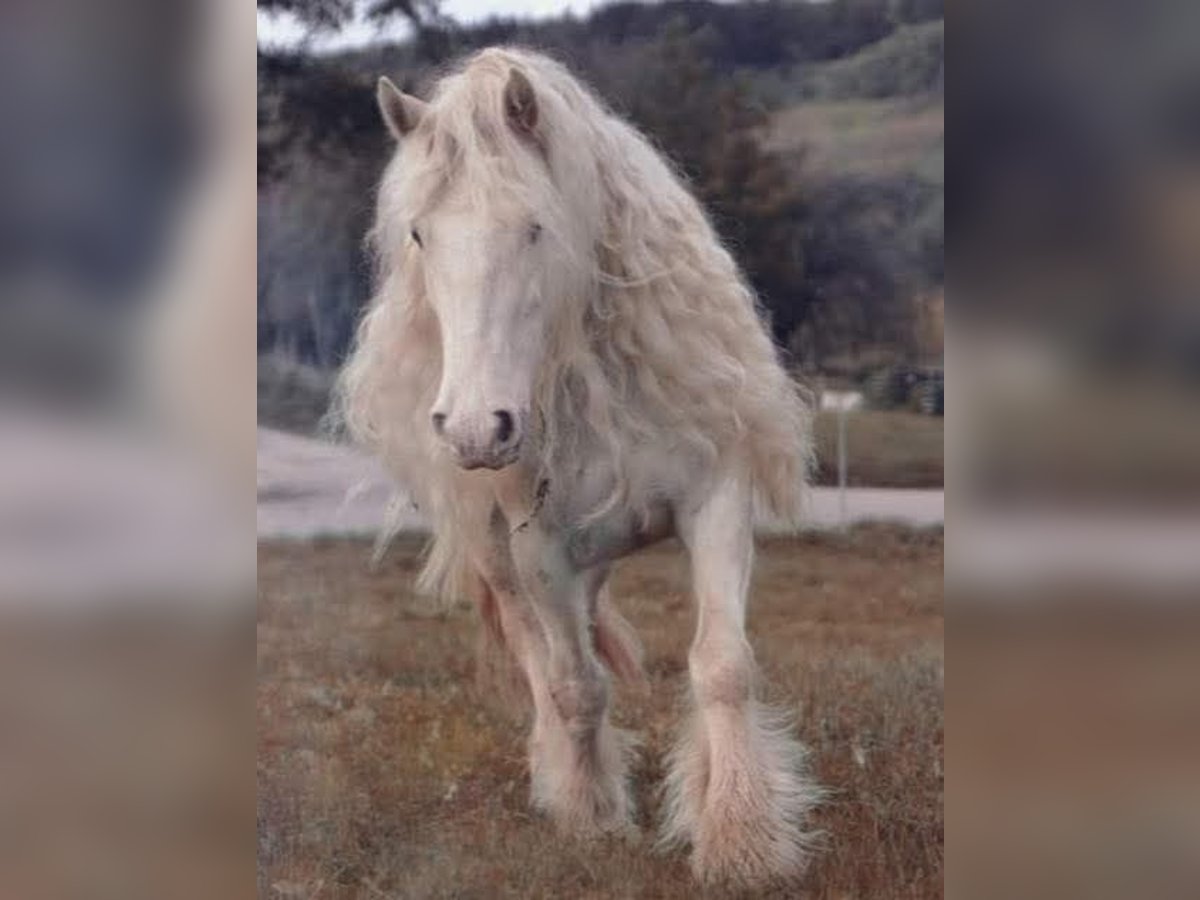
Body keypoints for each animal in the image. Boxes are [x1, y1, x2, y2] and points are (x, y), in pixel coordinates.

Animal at [338, 47, 820, 886]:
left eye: (535, 227)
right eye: (420, 235)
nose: (476, 428)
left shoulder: (715, 500)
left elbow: (721, 665)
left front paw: (739, 836)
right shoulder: (540, 551)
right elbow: (572, 686)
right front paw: (591, 816)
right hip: (503, 559)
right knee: (539, 660)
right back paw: (560, 776)